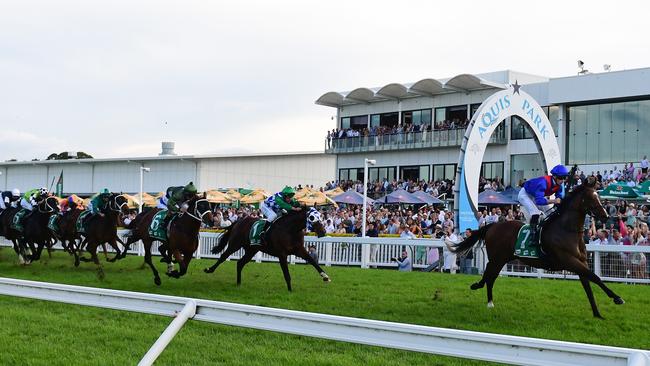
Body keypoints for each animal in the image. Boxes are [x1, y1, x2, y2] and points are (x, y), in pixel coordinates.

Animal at [450, 180, 624, 318]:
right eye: (590, 197)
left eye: (599, 196)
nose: (605, 216)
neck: (566, 230)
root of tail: (493, 225)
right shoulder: (569, 261)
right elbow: (595, 277)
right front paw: (617, 298)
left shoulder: (581, 262)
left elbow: (589, 285)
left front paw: (597, 314)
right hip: (497, 257)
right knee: (489, 274)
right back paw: (481, 291)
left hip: (503, 258)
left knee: (491, 276)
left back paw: (489, 301)